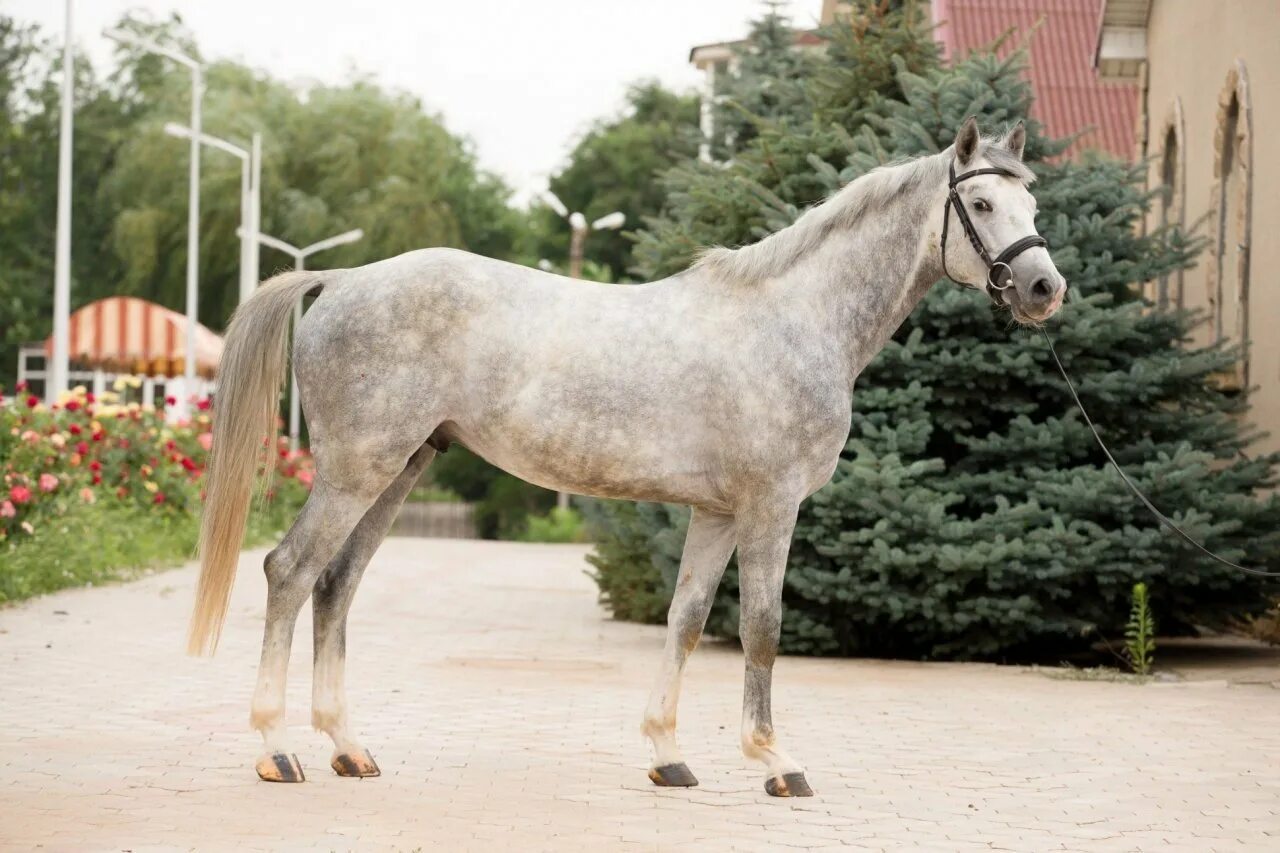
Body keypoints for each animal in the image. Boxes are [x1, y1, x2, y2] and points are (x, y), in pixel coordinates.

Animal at [189, 117, 1064, 788]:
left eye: (1032, 200)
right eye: (980, 200)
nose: (1045, 288)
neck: (796, 317)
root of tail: (342, 279)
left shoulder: (717, 512)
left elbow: (686, 619)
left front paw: (669, 755)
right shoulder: (771, 504)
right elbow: (763, 627)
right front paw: (776, 760)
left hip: (401, 468)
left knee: (337, 584)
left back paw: (348, 747)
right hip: (356, 469)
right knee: (290, 572)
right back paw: (277, 749)